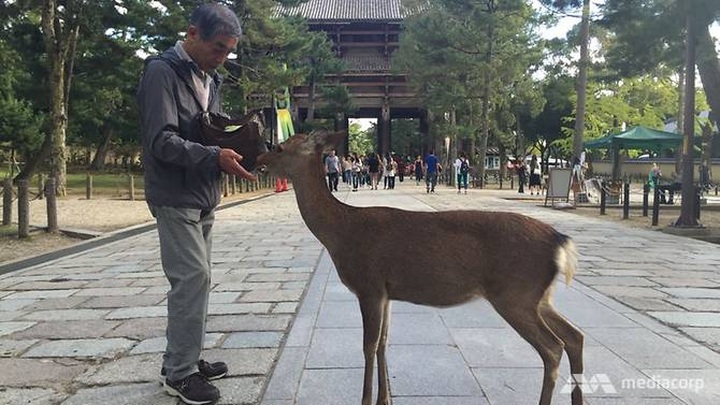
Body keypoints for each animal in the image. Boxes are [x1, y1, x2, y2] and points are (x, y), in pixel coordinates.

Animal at [256, 131, 585, 405]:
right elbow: (383, 342)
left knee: (553, 348)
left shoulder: (369, 284)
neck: (340, 232)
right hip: (537, 296)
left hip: (514, 294)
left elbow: (368, 345)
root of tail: (560, 241)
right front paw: (384, 399)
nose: (258, 161)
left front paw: (367, 400)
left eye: (281, 147)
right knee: (574, 335)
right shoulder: (385, 292)